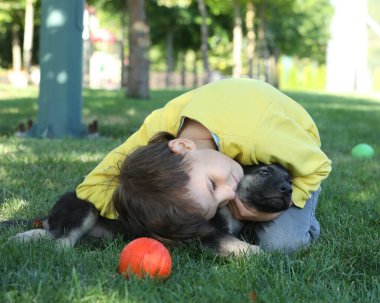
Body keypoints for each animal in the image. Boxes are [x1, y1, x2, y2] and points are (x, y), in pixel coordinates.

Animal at [5, 164, 290, 256]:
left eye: (289, 177)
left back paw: (20, 239)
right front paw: (265, 255)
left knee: (49, 233)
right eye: (264, 172)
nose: (288, 189)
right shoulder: (208, 235)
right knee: (61, 241)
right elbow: (239, 246)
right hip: (86, 209)